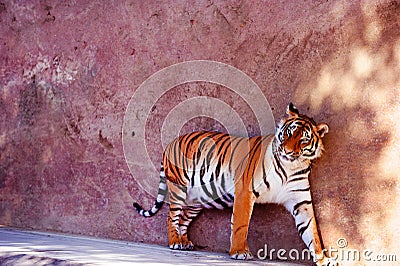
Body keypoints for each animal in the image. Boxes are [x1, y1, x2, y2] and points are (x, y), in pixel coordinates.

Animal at [134, 103, 338, 264]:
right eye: (288, 134)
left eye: (303, 140)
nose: (286, 151)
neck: (290, 167)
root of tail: (171, 143)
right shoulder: (245, 192)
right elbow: (241, 224)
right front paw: (240, 252)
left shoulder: (302, 203)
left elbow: (313, 232)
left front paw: (323, 260)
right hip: (178, 188)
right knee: (172, 218)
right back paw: (175, 242)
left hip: (195, 201)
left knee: (183, 220)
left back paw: (184, 242)